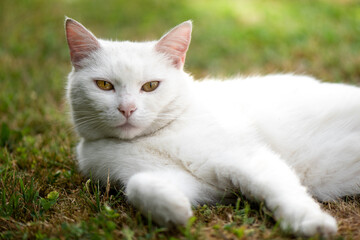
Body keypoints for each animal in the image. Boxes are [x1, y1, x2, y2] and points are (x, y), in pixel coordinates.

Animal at [64, 18, 360, 236]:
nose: (127, 109)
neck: (151, 139)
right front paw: (174, 212)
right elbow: (138, 185)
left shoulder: (248, 158)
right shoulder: (193, 184)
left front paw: (312, 223)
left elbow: (283, 192)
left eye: (150, 86)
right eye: (104, 85)